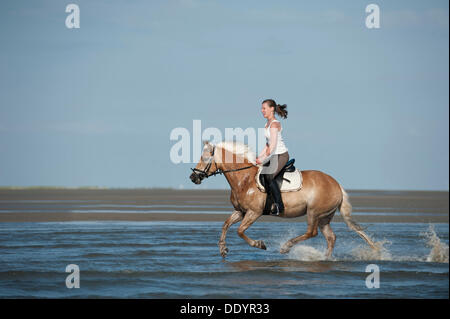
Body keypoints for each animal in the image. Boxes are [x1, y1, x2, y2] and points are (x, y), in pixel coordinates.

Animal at [189, 141, 376, 258]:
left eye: (205, 158)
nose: (193, 177)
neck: (244, 179)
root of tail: (336, 185)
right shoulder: (241, 211)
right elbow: (226, 225)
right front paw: (223, 249)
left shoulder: (254, 212)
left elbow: (240, 231)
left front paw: (260, 244)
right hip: (325, 217)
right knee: (331, 238)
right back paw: (325, 258)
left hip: (314, 212)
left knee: (312, 232)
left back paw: (286, 247)